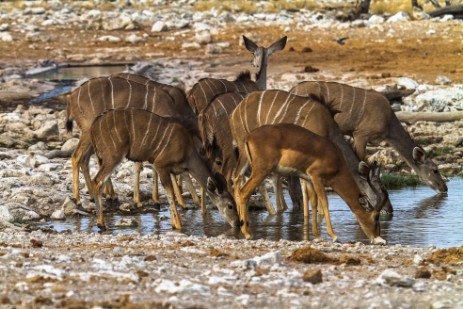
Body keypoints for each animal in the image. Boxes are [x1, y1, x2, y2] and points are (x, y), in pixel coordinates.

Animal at [65, 74, 198, 208]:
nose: (197, 200)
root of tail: (71, 97)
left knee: (86, 160)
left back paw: (98, 195)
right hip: (88, 132)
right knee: (77, 157)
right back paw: (79, 199)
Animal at [89, 107, 239, 230]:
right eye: (230, 205)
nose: (238, 223)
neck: (187, 151)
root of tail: (95, 125)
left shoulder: (172, 170)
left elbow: (170, 194)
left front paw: (174, 223)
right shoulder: (160, 164)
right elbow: (170, 193)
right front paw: (178, 226)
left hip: (103, 158)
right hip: (113, 156)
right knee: (96, 182)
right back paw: (101, 224)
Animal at [229, 89, 392, 215]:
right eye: (378, 188)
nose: (390, 209)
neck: (328, 127)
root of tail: (235, 111)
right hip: (244, 149)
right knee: (237, 176)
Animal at [237, 122, 386, 243]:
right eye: (376, 216)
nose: (379, 240)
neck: (336, 159)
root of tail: (249, 136)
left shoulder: (308, 179)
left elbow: (313, 203)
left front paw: (317, 236)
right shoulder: (317, 177)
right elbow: (324, 203)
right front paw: (333, 236)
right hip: (261, 171)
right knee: (244, 192)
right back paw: (247, 234)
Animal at [290, 80, 450, 195]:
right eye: (435, 170)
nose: (445, 188)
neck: (388, 122)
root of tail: (293, 89)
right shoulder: (361, 134)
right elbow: (362, 162)